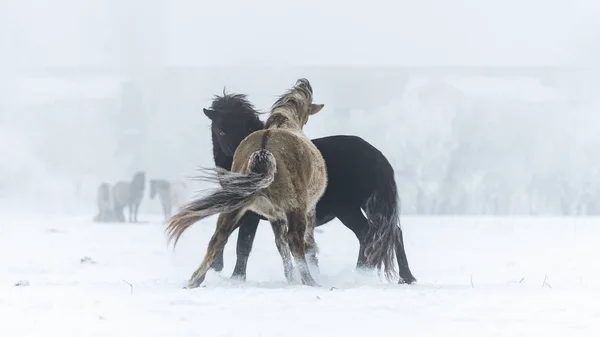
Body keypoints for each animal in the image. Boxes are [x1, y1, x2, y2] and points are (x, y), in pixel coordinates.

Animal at [166, 77, 328, 288]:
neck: (284, 123)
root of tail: (264, 150)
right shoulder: (307, 210)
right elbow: (306, 245)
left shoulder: (274, 216)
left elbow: (280, 245)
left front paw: (290, 277)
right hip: (294, 208)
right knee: (295, 241)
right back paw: (310, 281)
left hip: (235, 207)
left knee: (218, 238)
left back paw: (195, 280)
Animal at [204, 90, 414, 284]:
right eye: (221, 130)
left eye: (248, 127)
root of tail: (376, 156)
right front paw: (217, 267)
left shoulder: (252, 214)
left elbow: (243, 243)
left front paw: (236, 277)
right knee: (388, 232)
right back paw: (403, 277)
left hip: (348, 209)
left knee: (369, 234)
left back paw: (364, 273)